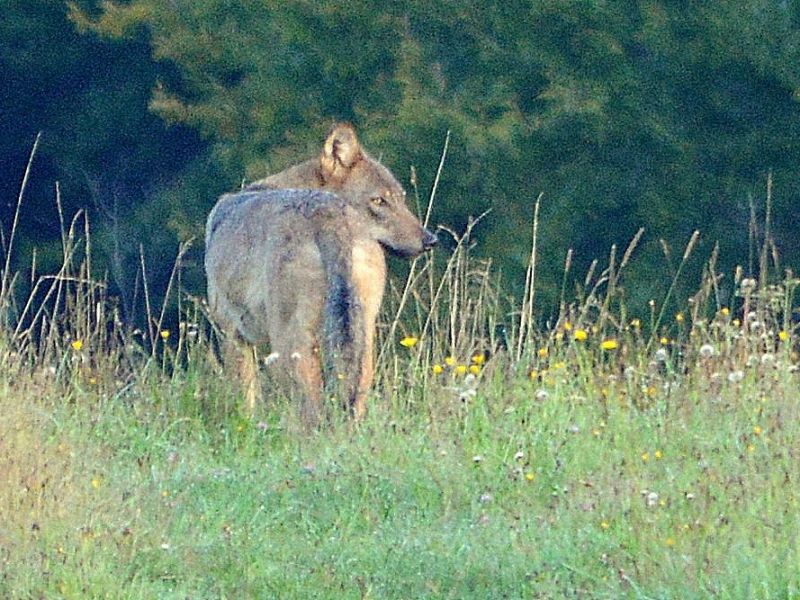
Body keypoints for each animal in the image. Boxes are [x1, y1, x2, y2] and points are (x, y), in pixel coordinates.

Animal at [203, 123, 434, 426]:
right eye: (379, 201)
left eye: (400, 199)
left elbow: (245, 404)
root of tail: (330, 214)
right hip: (361, 340)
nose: (431, 240)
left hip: (290, 347)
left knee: (310, 413)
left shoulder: (232, 333)